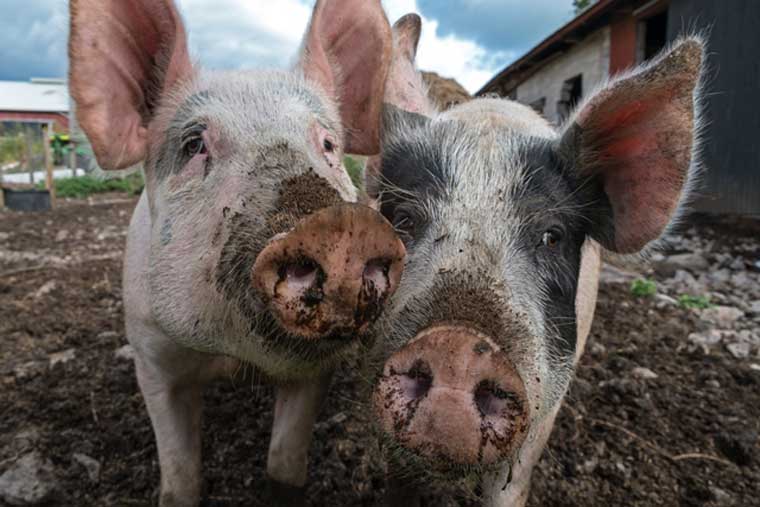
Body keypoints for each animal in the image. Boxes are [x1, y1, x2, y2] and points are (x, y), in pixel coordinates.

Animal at [68, 0, 404, 507]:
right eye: (194, 144)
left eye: (328, 144)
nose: (344, 226)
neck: (228, 354)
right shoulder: (152, 354)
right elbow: (181, 479)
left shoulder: (316, 369)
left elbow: (285, 464)